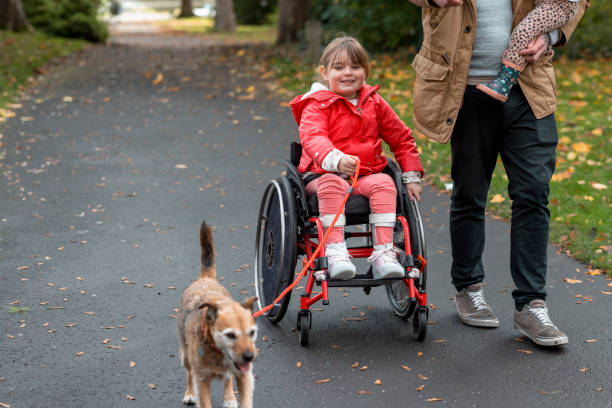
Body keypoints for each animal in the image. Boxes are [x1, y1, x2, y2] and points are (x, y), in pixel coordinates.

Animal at [179, 222, 260, 406]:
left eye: (252, 332)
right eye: (230, 335)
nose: (249, 357)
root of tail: (206, 278)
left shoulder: (244, 376)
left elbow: (244, 398)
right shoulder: (202, 381)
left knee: (228, 378)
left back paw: (229, 397)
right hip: (186, 357)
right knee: (188, 373)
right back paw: (189, 393)